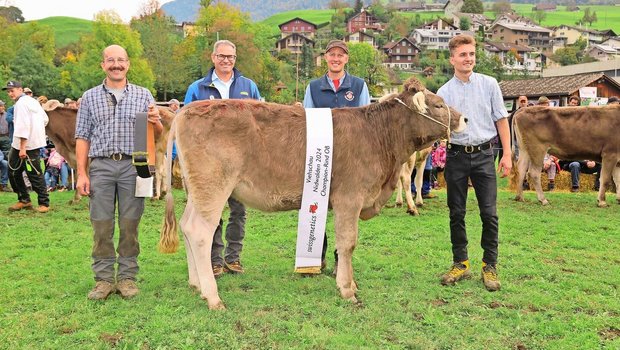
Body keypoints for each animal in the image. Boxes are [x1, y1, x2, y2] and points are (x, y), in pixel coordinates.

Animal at [157, 77, 468, 308]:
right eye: (439, 104)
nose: (464, 118)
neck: (378, 135)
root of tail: (185, 110)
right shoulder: (350, 198)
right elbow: (348, 243)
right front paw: (347, 289)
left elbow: (343, 245)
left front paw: (350, 282)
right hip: (213, 187)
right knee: (200, 232)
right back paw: (212, 296)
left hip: (197, 190)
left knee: (186, 226)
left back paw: (196, 283)